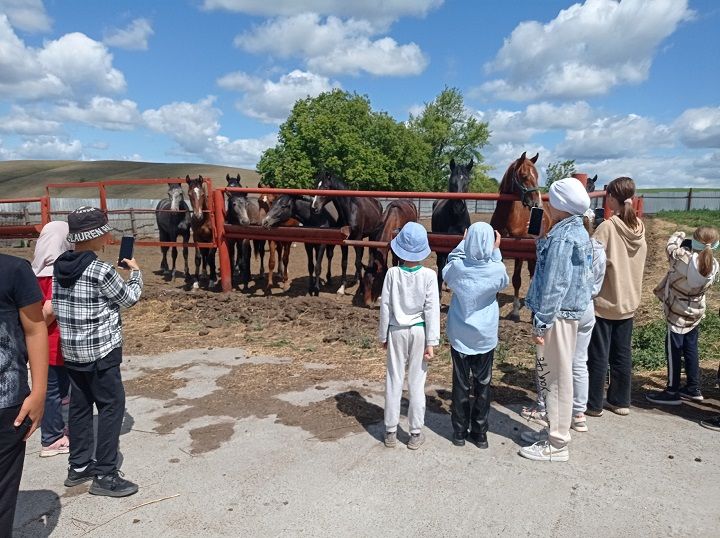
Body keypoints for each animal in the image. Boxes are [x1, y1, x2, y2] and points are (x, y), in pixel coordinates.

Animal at [434, 156, 472, 288]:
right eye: (451, 181)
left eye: (467, 182)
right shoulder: (441, 248)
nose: (458, 207)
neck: (456, 219)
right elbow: (440, 273)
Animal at [492, 151, 544, 318]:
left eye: (537, 175)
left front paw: (515, 311)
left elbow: (516, 280)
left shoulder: (519, 253)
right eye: (524, 175)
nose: (537, 203)